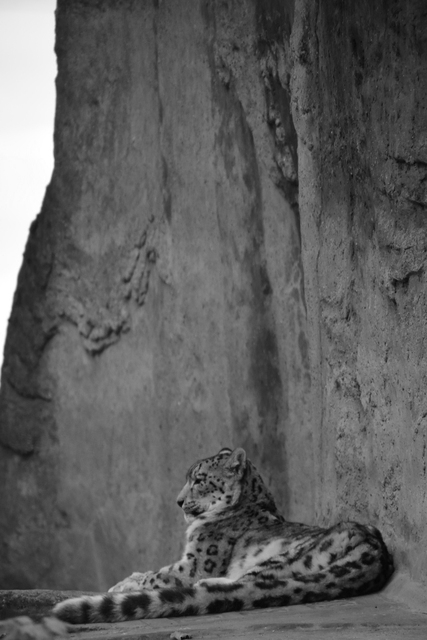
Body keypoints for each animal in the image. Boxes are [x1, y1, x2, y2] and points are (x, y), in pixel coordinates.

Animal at [53, 446, 394, 624]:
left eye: (199, 479)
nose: (178, 501)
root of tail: (373, 552)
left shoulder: (194, 563)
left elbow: (157, 575)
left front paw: (122, 584)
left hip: (281, 558)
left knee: (246, 583)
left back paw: (206, 585)